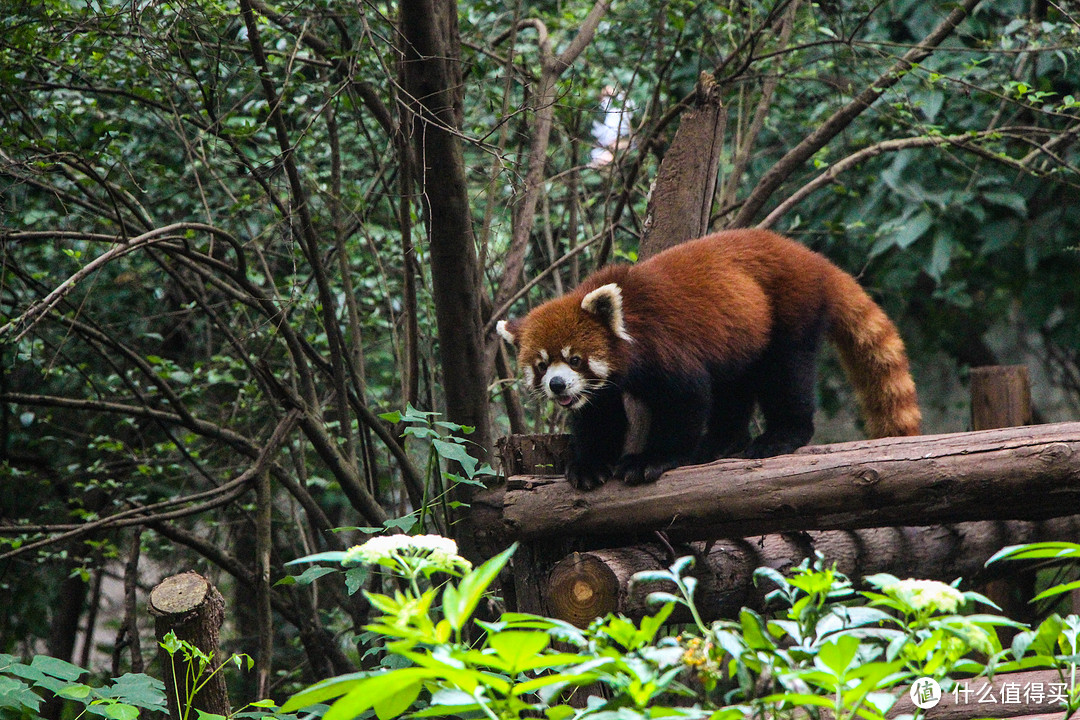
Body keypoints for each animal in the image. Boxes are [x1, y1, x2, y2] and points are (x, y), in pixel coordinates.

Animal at [496, 231, 920, 490]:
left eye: (575, 359)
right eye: (542, 365)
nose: (558, 385)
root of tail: (811, 258)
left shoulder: (666, 348)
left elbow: (685, 400)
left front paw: (650, 460)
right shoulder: (603, 388)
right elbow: (600, 417)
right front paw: (589, 465)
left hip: (789, 309)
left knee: (785, 374)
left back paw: (780, 436)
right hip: (741, 338)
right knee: (734, 389)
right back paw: (720, 443)